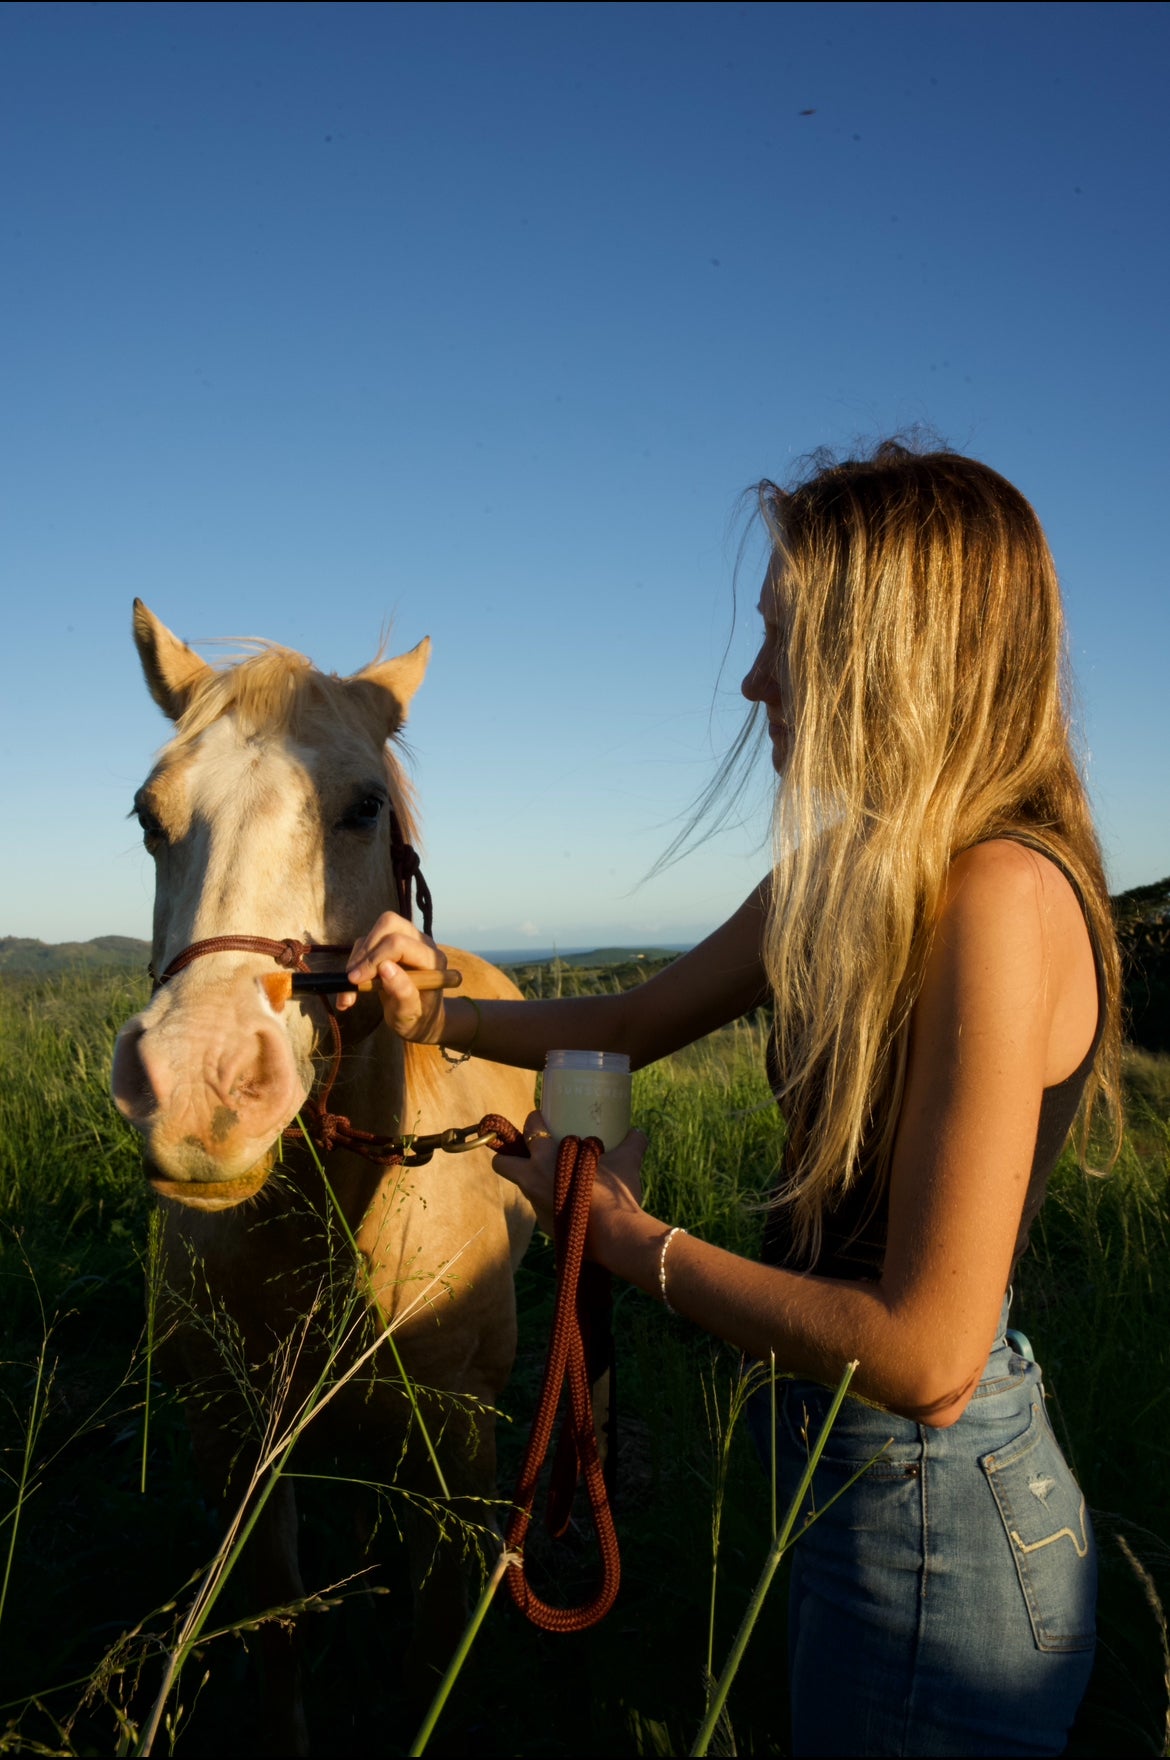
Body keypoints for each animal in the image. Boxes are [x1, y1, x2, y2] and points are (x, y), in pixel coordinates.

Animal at [110, 601, 534, 1745]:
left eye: (363, 806)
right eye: (148, 816)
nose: (200, 1086)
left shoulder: (460, 1445)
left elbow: (433, 1643)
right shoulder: (231, 1441)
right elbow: (278, 1626)